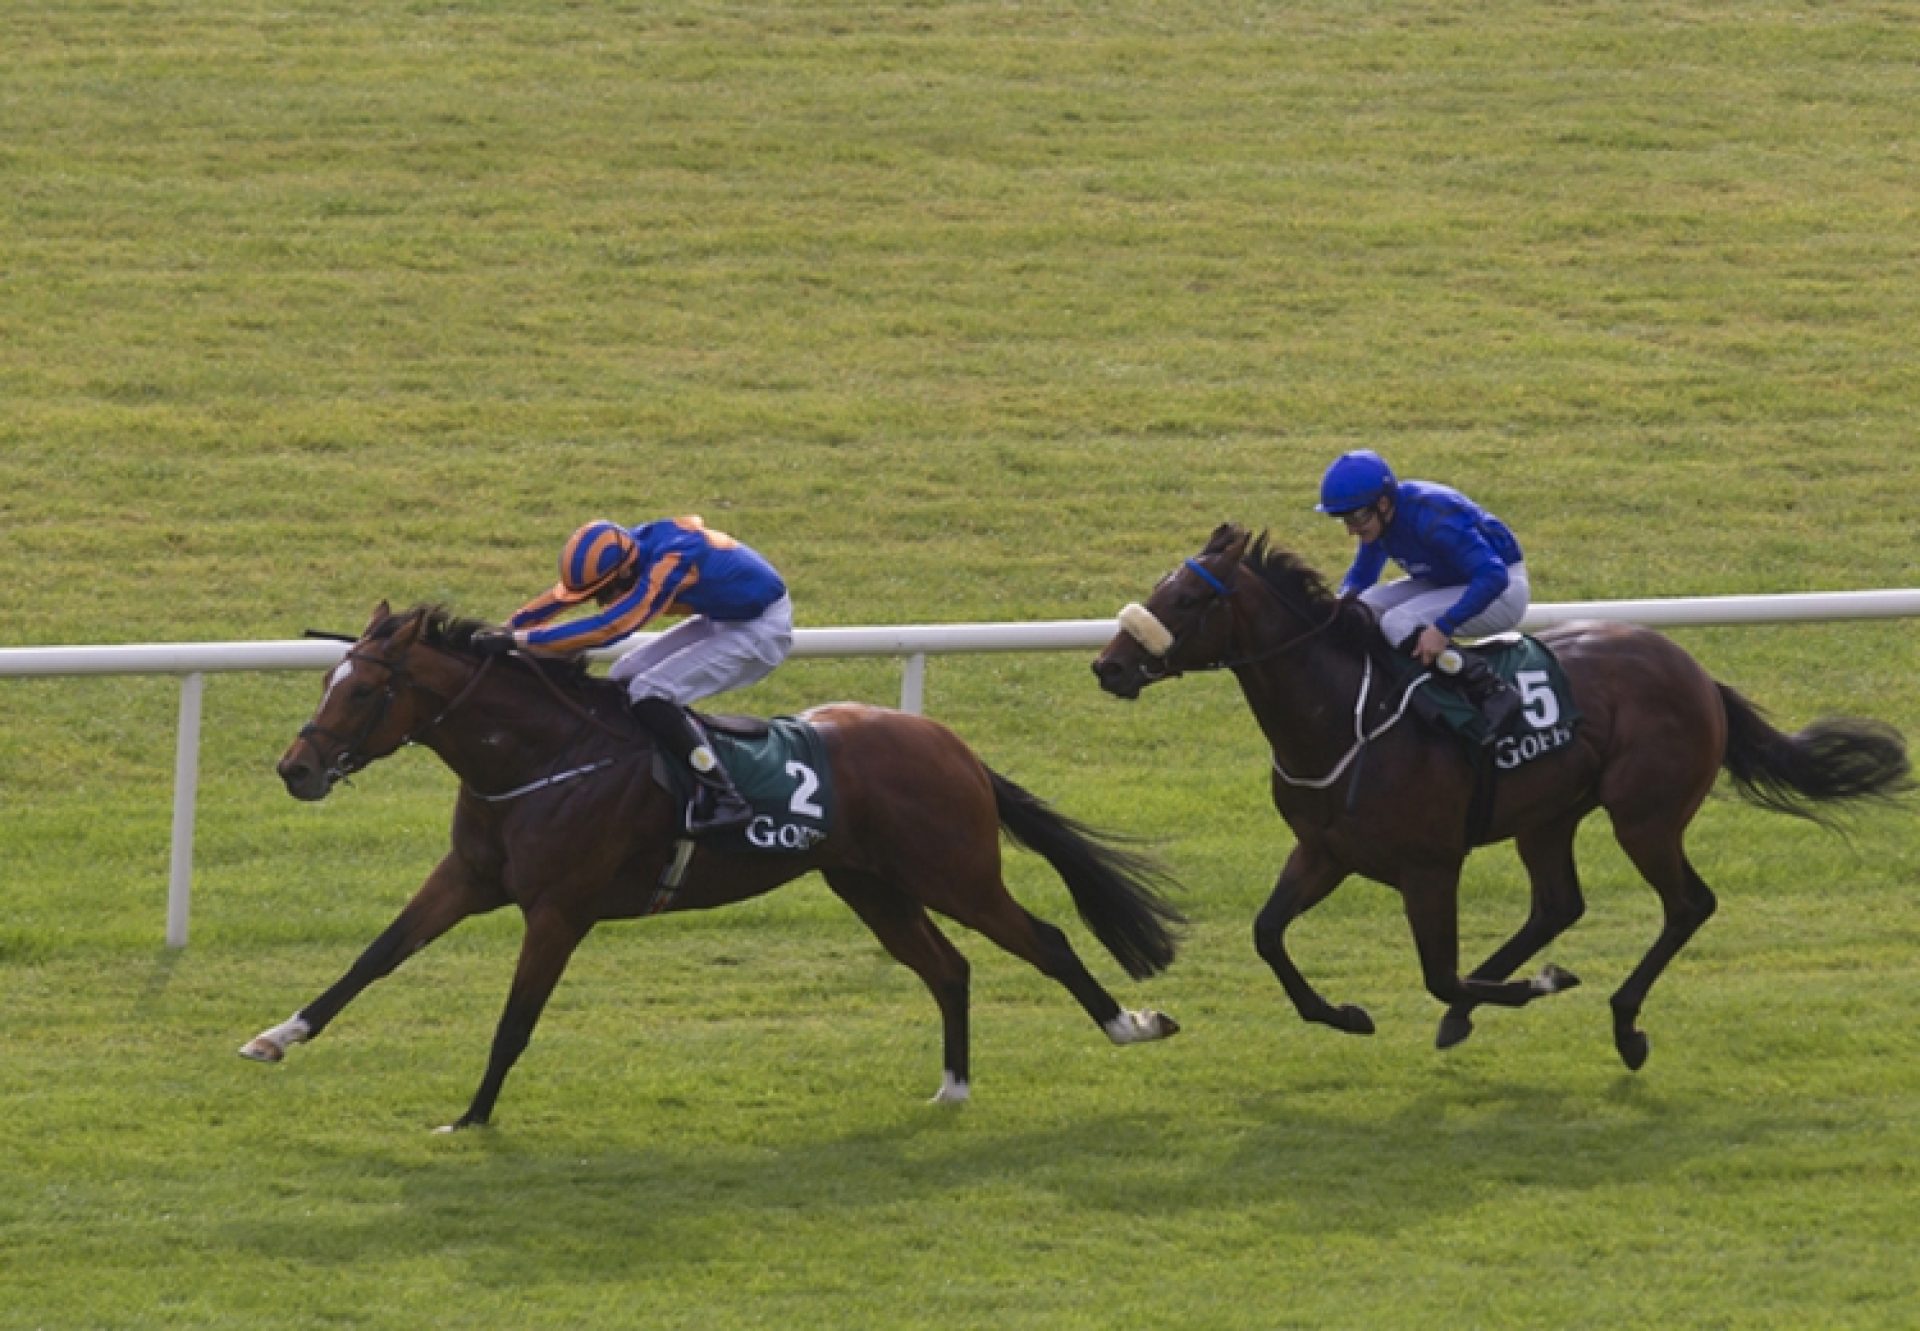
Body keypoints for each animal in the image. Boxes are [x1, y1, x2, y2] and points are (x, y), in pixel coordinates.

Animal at [247, 603, 1175, 1121]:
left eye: (366, 690)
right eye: (326, 681)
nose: (296, 768)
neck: (542, 757)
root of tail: (952, 744)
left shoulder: (560, 909)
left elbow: (515, 1018)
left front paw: (470, 1117)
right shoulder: (470, 878)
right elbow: (373, 957)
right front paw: (276, 1035)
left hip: (956, 872)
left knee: (1046, 940)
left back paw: (1131, 1024)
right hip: (871, 884)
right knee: (948, 968)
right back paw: (951, 1087)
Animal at [1090, 526, 1912, 1067]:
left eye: (1186, 598)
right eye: (1161, 587)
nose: (1109, 665)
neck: (1344, 718)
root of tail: (1697, 673)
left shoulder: (1430, 866)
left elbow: (1437, 973)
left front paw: (1537, 983)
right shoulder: (1324, 850)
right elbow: (1267, 934)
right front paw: (1346, 1014)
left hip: (1644, 816)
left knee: (1687, 905)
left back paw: (1623, 1024)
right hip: (1547, 816)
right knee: (1558, 904)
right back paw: (1482, 1011)